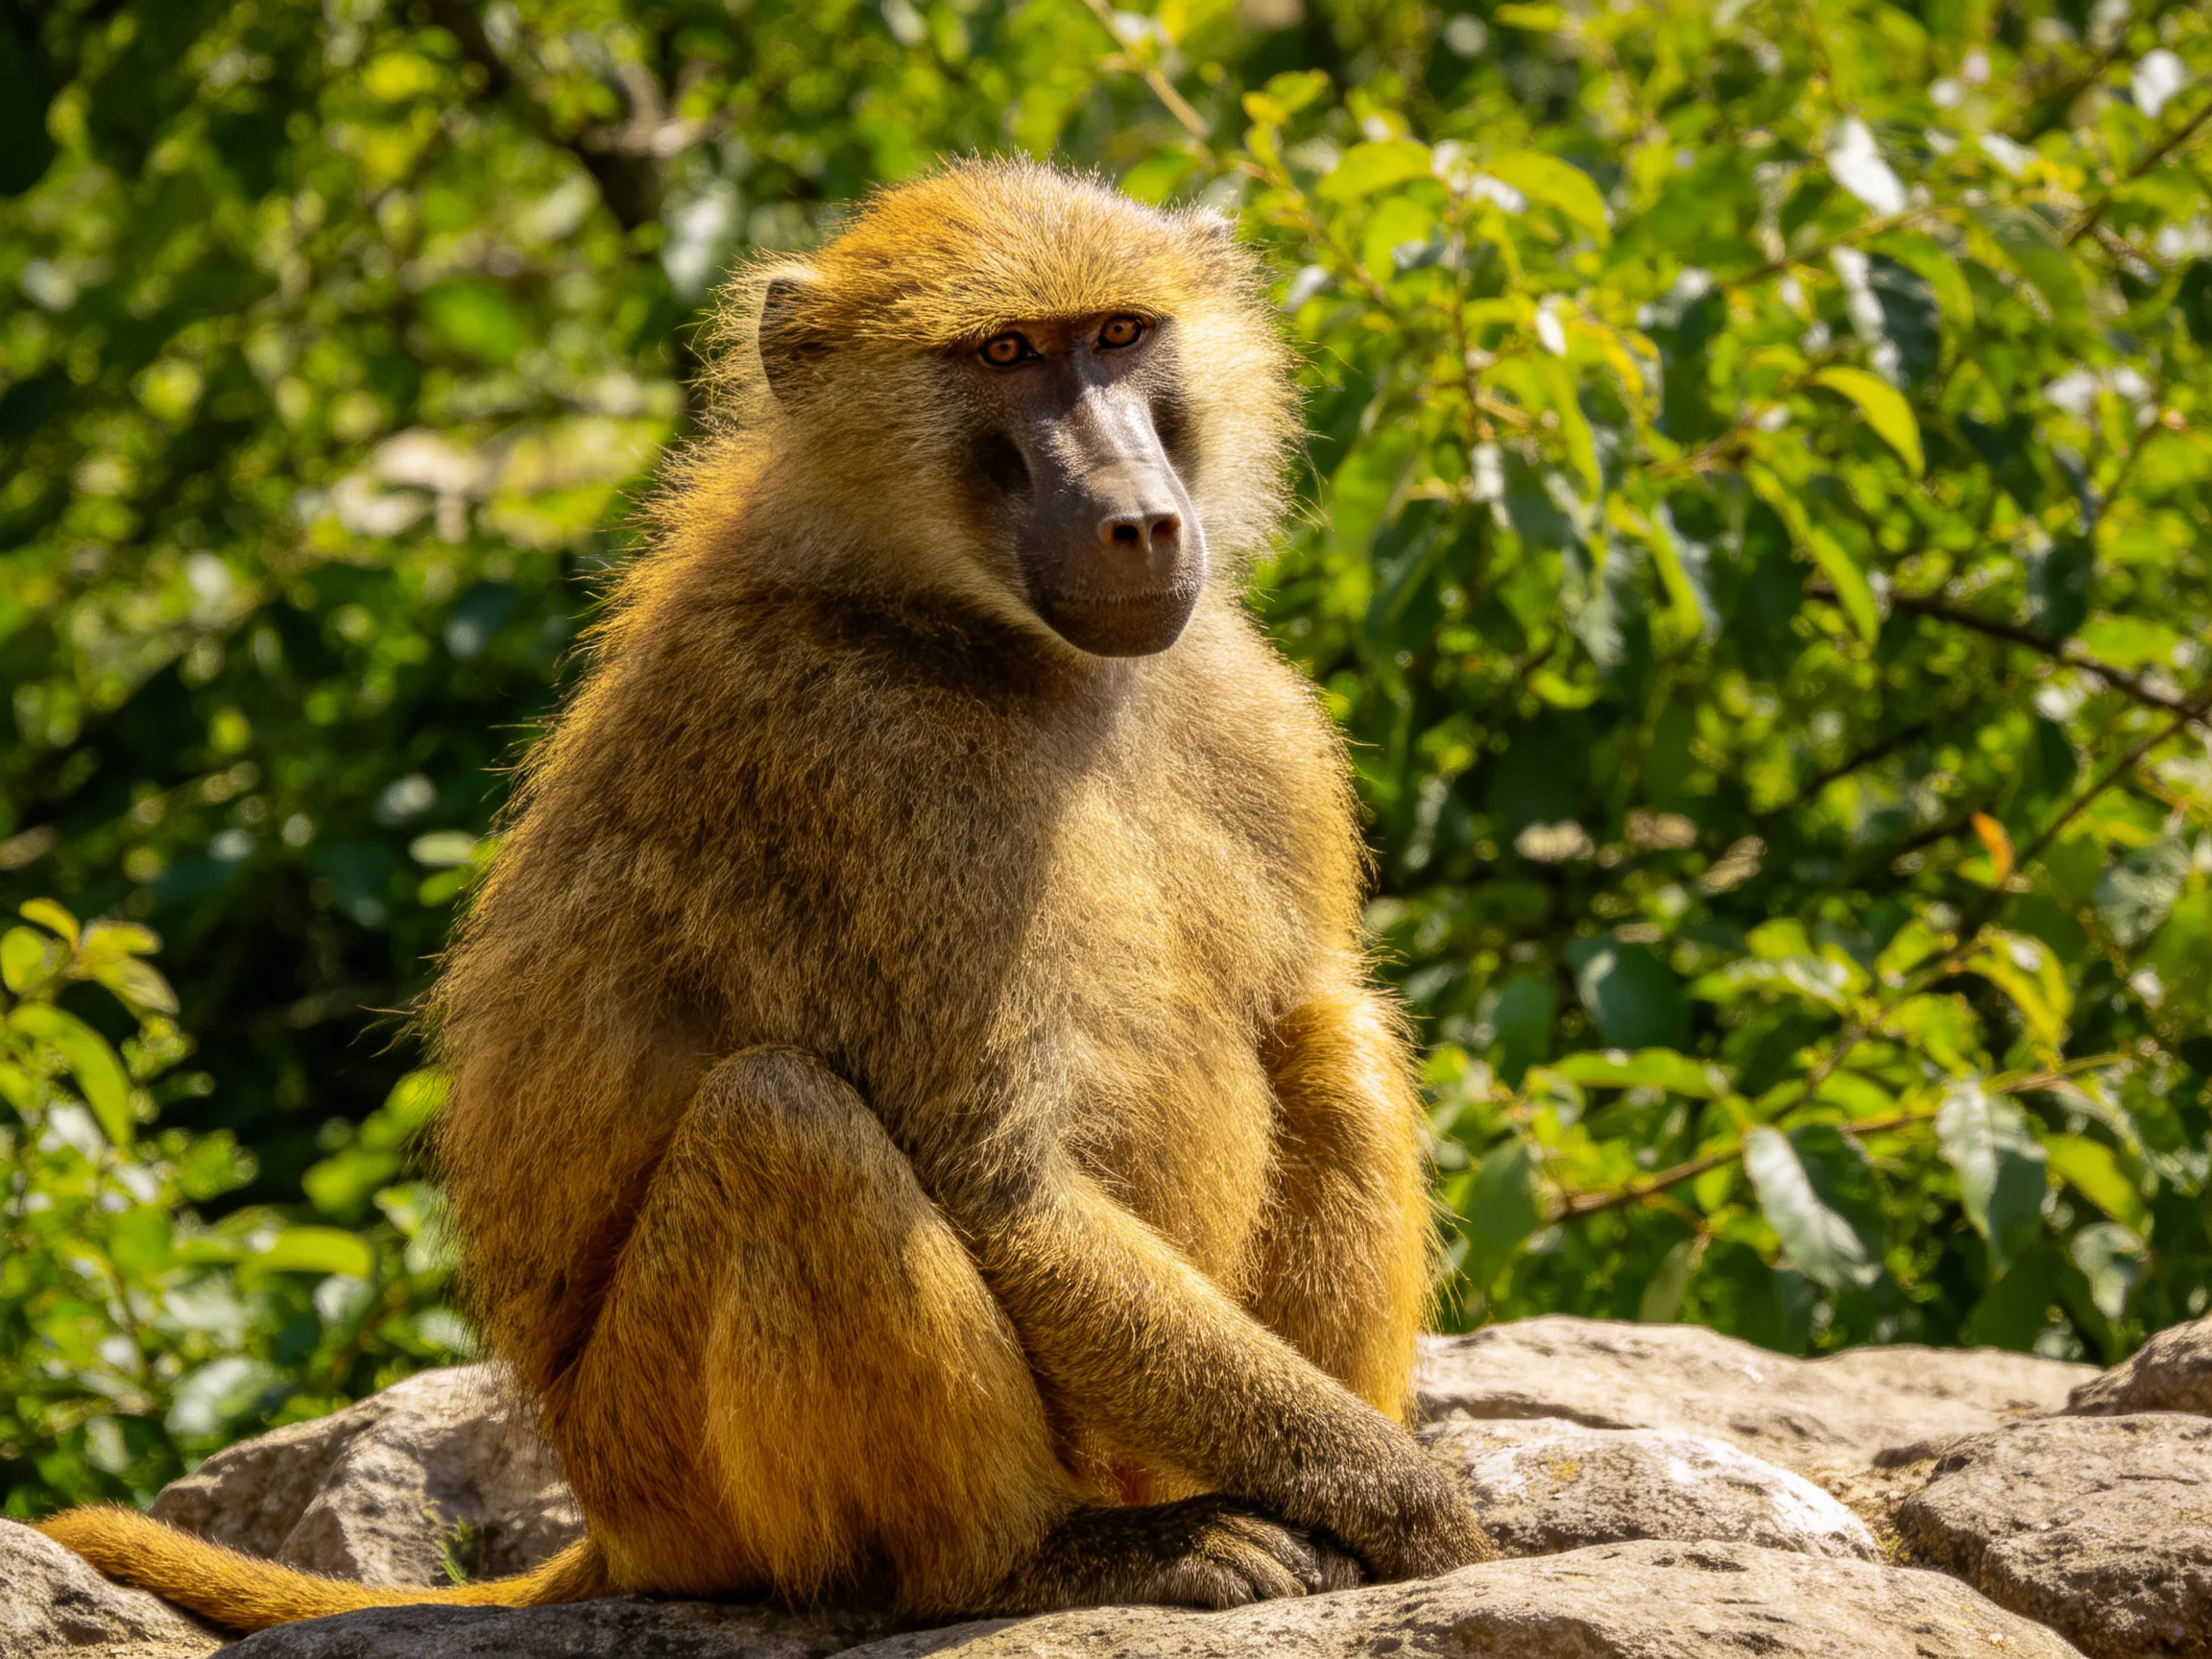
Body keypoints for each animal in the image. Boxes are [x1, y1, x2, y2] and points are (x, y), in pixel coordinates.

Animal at [39, 157, 1494, 1631]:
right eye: (1007, 354)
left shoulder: (1261, 713)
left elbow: (1279, 1015)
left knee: (1327, 1032)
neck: (979, 631)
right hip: (670, 1466)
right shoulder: (843, 765)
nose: (1139, 519)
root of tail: (604, 1527)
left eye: (1121, 335)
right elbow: (1004, 1191)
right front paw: (1417, 1509)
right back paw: (1044, 1560)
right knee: (780, 1124)